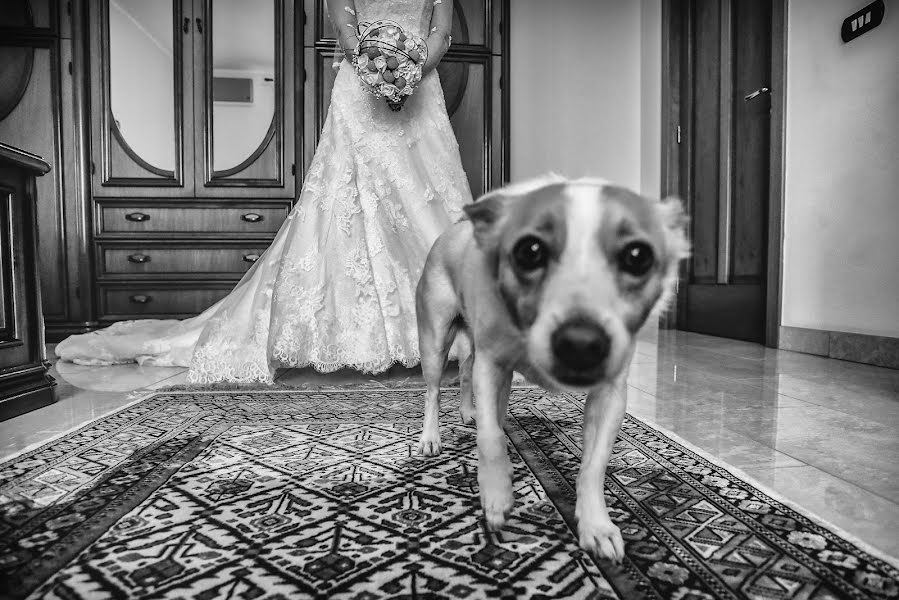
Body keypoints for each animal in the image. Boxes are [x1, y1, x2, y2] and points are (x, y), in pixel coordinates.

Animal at [414, 173, 688, 564]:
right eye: (529, 251)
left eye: (638, 257)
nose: (581, 343)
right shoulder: (493, 366)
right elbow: (491, 437)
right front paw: (496, 494)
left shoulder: (610, 395)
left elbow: (593, 466)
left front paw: (596, 525)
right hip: (436, 339)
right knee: (434, 391)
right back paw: (430, 437)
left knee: (466, 371)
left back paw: (468, 412)